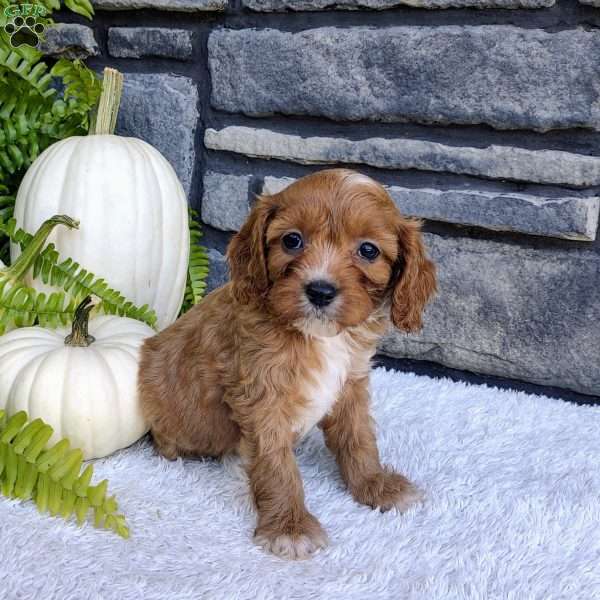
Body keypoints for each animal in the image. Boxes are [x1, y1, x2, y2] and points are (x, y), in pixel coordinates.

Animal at [139, 166, 436, 560]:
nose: (320, 291)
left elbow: (359, 439)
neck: (320, 337)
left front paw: (376, 485)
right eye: (292, 240)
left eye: (368, 250)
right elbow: (276, 465)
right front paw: (289, 527)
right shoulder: (262, 397)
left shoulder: (351, 383)